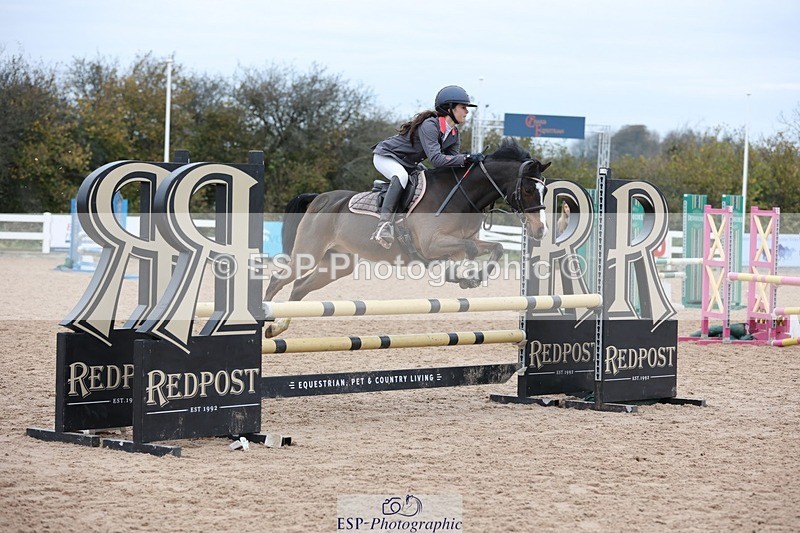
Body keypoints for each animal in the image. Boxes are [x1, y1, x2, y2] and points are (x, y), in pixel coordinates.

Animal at [263, 138, 551, 337]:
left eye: (545, 190)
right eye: (527, 189)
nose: (540, 231)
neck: (461, 195)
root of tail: (320, 198)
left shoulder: (461, 241)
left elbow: (496, 247)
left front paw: (469, 277)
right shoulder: (431, 243)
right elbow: (467, 249)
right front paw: (463, 277)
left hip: (337, 264)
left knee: (299, 287)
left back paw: (278, 328)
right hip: (309, 253)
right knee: (279, 279)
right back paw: (264, 316)